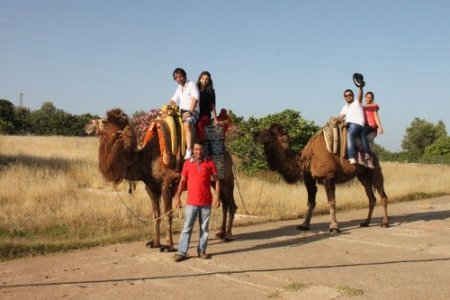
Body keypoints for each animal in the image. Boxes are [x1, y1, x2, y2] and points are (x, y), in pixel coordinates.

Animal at [85, 108, 239, 251]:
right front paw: (154, 242)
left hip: (226, 179)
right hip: (215, 181)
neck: (144, 162)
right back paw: (221, 233)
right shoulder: (151, 188)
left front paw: (168, 245)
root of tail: (228, 154)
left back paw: (227, 235)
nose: (88, 125)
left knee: (231, 204)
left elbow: (167, 214)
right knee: (225, 204)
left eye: (105, 121)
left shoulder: (167, 183)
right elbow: (155, 214)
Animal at [255, 123, 388, 233]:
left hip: (373, 169)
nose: (256, 134)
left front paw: (334, 227)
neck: (306, 160)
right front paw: (304, 225)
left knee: (382, 193)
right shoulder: (309, 180)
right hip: (362, 175)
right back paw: (365, 222)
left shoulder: (328, 178)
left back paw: (385, 223)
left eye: (271, 132)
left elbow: (331, 202)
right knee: (371, 197)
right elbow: (311, 202)